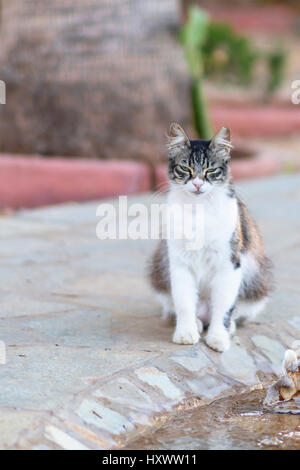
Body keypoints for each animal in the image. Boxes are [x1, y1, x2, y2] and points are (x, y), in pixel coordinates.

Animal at [149, 123, 274, 350]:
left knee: (236, 311)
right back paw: (198, 323)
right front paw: (186, 332)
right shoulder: (179, 263)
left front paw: (218, 337)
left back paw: (227, 327)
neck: (199, 209)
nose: (198, 184)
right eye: (186, 169)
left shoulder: (230, 264)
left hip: (257, 279)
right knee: (175, 307)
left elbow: (223, 308)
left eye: (211, 170)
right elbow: (183, 303)